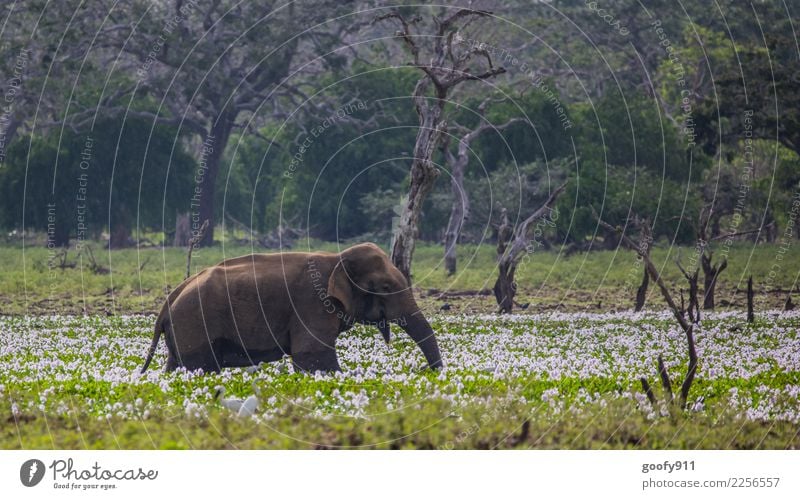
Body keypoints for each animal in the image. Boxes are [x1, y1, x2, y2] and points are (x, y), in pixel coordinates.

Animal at [141, 242, 446, 376]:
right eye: (384, 287)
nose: (424, 370)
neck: (337, 257)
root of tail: (167, 304)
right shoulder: (312, 303)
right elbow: (312, 356)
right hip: (194, 324)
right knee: (201, 366)